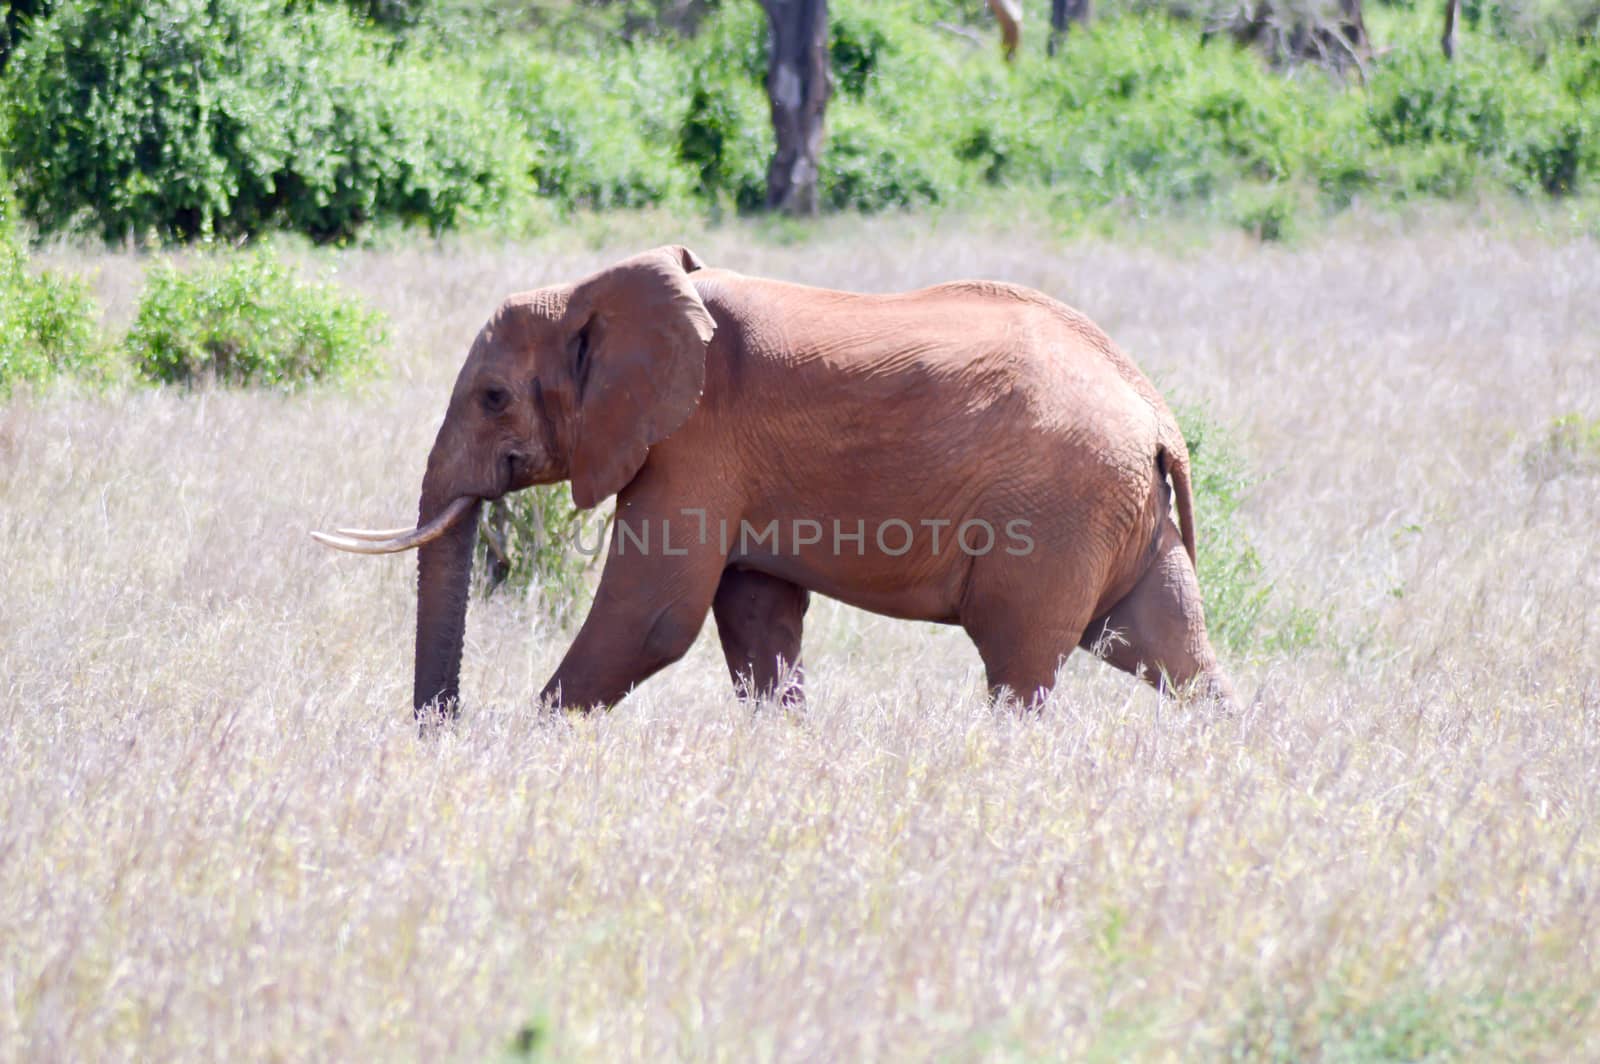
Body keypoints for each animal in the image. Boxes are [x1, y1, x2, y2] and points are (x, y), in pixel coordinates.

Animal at [312, 244, 1235, 716]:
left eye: (494, 398)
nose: (441, 730)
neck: (592, 289)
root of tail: (1157, 417)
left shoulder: (693, 437)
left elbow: (652, 617)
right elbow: (755, 620)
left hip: (1057, 512)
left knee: (1021, 665)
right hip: (1125, 514)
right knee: (1170, 653)